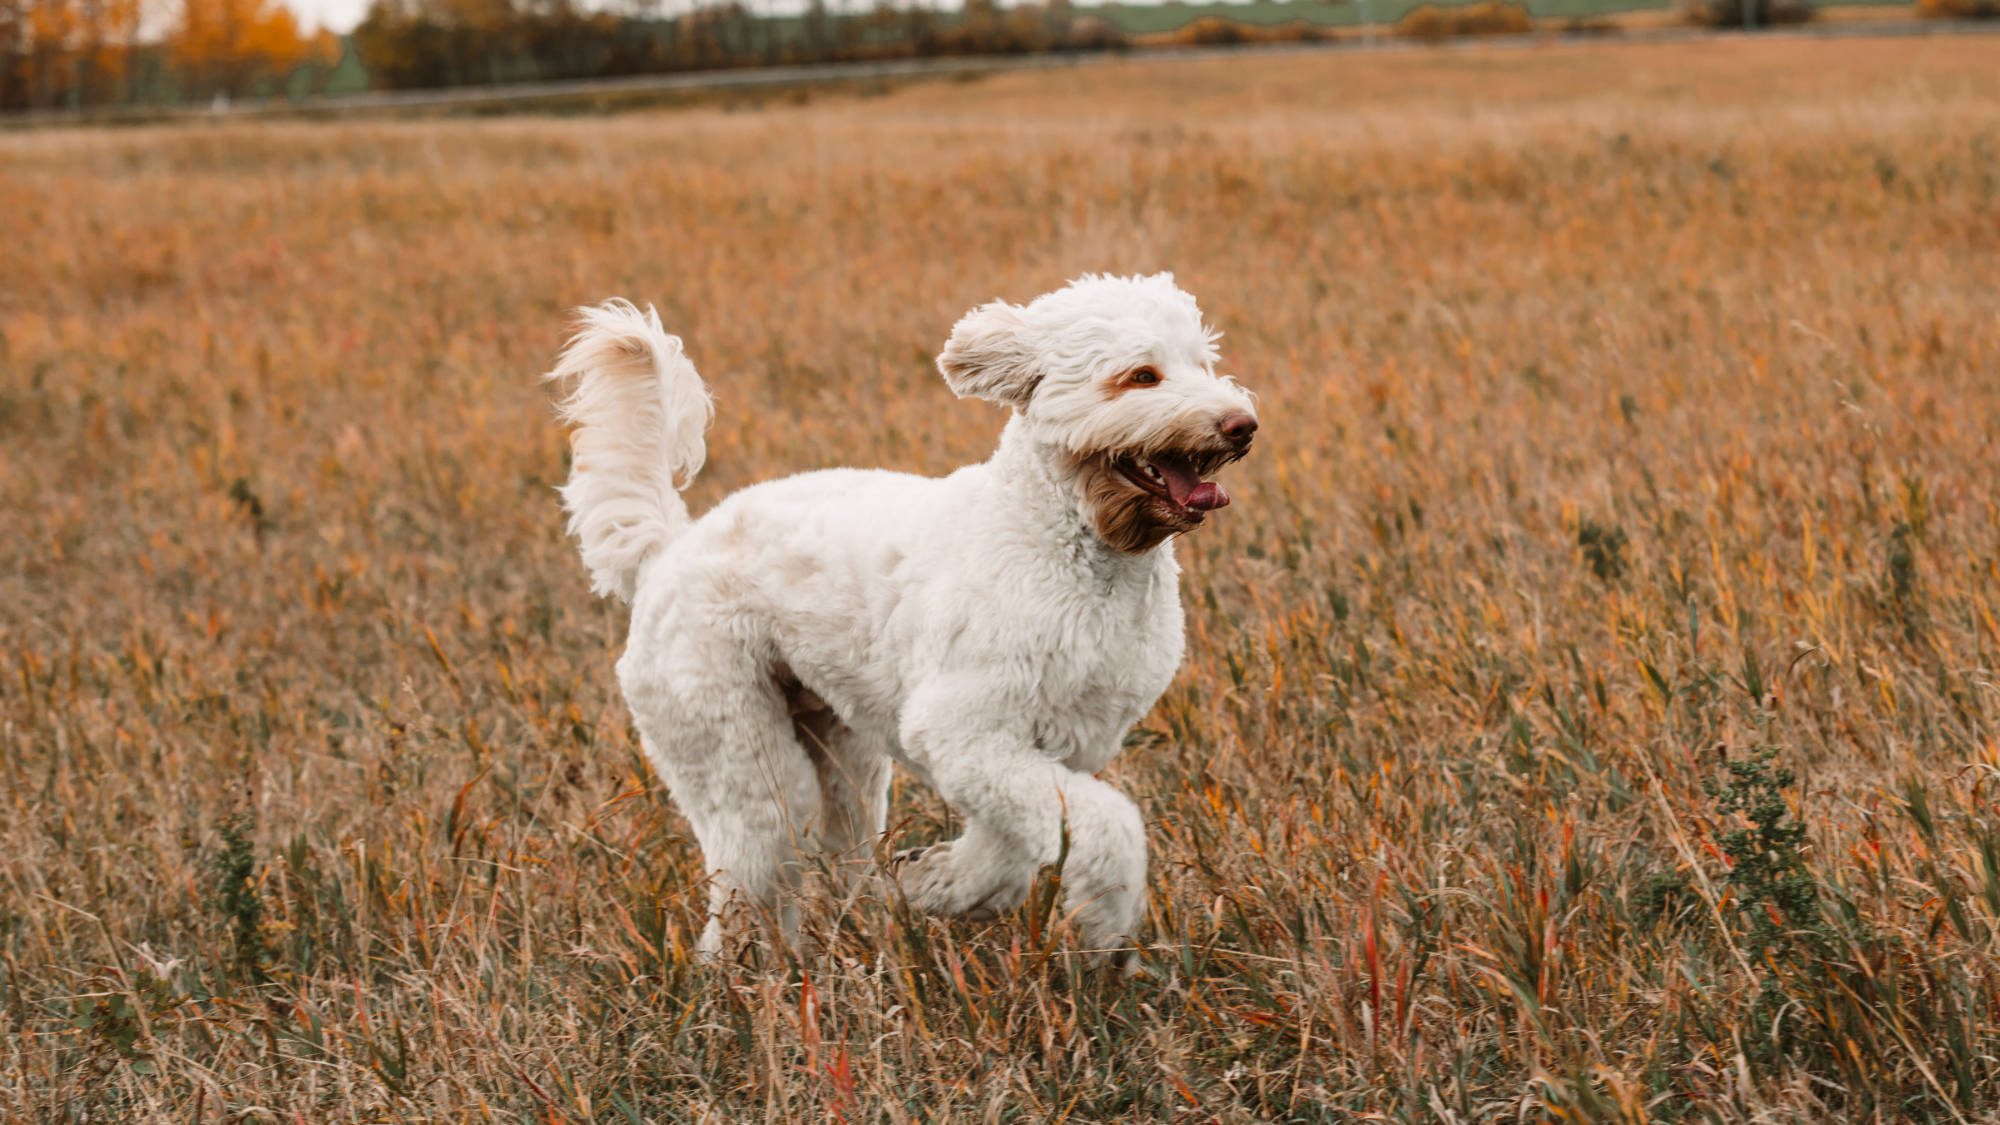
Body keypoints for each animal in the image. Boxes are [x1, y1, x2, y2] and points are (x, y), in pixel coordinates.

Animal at [540, 274, 1256, 964]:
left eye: (1203, 363)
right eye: (1142, 376)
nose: (1242, 424)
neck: (1067, 543)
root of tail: (667, 551)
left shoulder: (1059, 746)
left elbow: (1016, 844)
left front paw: (940, 883)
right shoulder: (961, 733)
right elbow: (1107, 826)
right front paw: (1103, 920)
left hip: (845, 757)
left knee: (840, 852)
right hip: (739, 754)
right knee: (753, 874)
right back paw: (746, 981)